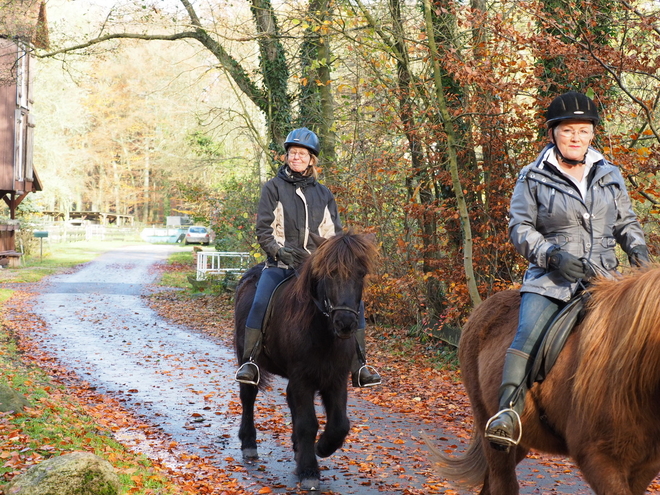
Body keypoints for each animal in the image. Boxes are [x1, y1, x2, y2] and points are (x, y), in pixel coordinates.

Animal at [232, 233, 376, 492]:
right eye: (330, 273)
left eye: (361, 273)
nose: (346, 323)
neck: (322, 332)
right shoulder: (303, 380)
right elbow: (308, 423)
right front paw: (309, 470)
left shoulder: (335, 379)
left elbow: (340, 424)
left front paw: (322, 448)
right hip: (246, 358)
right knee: (248, 396)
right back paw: (249, 443)